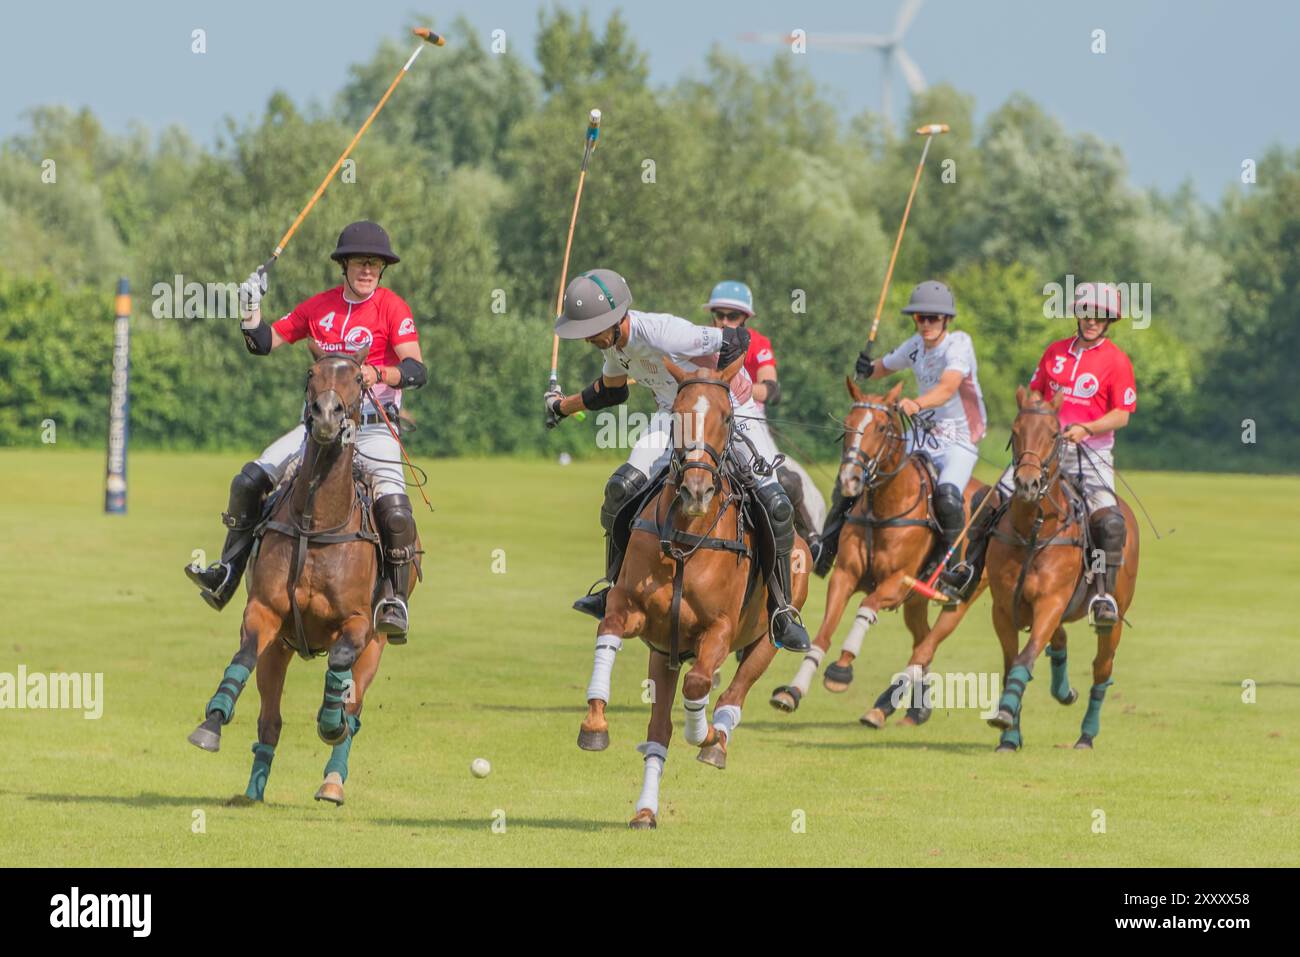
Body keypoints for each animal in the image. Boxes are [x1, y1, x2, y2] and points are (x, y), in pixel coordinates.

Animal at [183, 348, 413, 800]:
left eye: (358, 378)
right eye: (312, 372)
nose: (325, 416)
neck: (317, 521)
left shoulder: (358, 624)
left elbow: (339, 663)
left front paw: (329, 722)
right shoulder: (265, 612)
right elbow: (242, 656)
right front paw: (211, 723)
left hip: (376, 645)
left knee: (354, 710)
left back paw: (333, 780)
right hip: (280, 647)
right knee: (270, 719)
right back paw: (252, 791)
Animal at [577, 356, 806, 826]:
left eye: (726, 417)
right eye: (677, 417)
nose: (697, 491)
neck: (687, 537)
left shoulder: (717, 630)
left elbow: (700, 683)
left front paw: (703, 735)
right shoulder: (634, 613)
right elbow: (607, 633)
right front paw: (594, 724)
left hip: (766, 639)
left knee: (733, 692)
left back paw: (716, 740)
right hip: (664, 655)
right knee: (658, 730)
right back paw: (646, 810)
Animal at [764, 377, 977, 722]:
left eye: (880, 427)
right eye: (848, 423)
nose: (850, 479)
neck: (884, 508)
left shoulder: (896, 582)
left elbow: (866, 608)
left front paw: (840, 670)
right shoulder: (845, 575)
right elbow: (823, 633)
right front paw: (792, 691)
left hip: (958, 601)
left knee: (927, 645)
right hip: (915, 602)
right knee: (922, 641)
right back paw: (913, 708)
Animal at [982, 387, 1138, 748]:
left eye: (1054, 434)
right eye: (1015, 431)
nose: (1026, 483)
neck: (1033, 529)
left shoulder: (1050, 602)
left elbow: (1025, 657)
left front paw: (1005, 714)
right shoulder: (1003, 608)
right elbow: (1012, 663)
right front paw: (1009, 735)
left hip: (1114, 614)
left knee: (1101, 667)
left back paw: (1086, 735)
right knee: (1061, 639)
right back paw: (1064, 692)